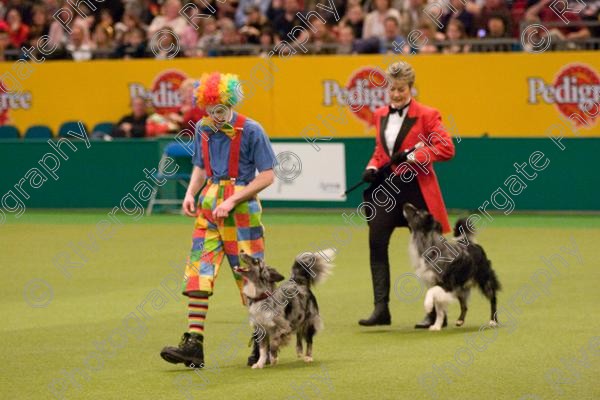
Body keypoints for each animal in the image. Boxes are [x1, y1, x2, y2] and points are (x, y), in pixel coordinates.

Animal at [404, 203, 502, 332]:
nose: (405, 204)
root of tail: (472, 244)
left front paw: (428, 305)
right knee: (464, 305)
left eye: (417, 213)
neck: (431, 247)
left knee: (493, 298)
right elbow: (440, 310)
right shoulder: (437, 283)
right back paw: (460, 320)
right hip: (460, 286)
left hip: (484, 280)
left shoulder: (447, 284)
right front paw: (437, 326)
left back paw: (493, 321)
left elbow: (431, 292)